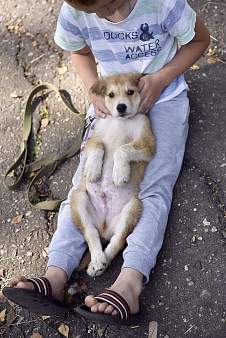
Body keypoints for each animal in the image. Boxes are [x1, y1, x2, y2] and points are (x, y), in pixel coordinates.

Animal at [70, 72, 155, 276]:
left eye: (130, 92)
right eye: (111, 95)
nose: (121, 107)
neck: (120, 122)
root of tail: (105, 226)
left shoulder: (147, 142)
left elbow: (121, 149)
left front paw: (119, 174)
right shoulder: (94, 137)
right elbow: (99, 146)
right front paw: (93, 170)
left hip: (133, 208)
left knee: (118, 241)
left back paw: (101, 262)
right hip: (79, 200)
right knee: (91, 233)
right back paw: (97, 260)